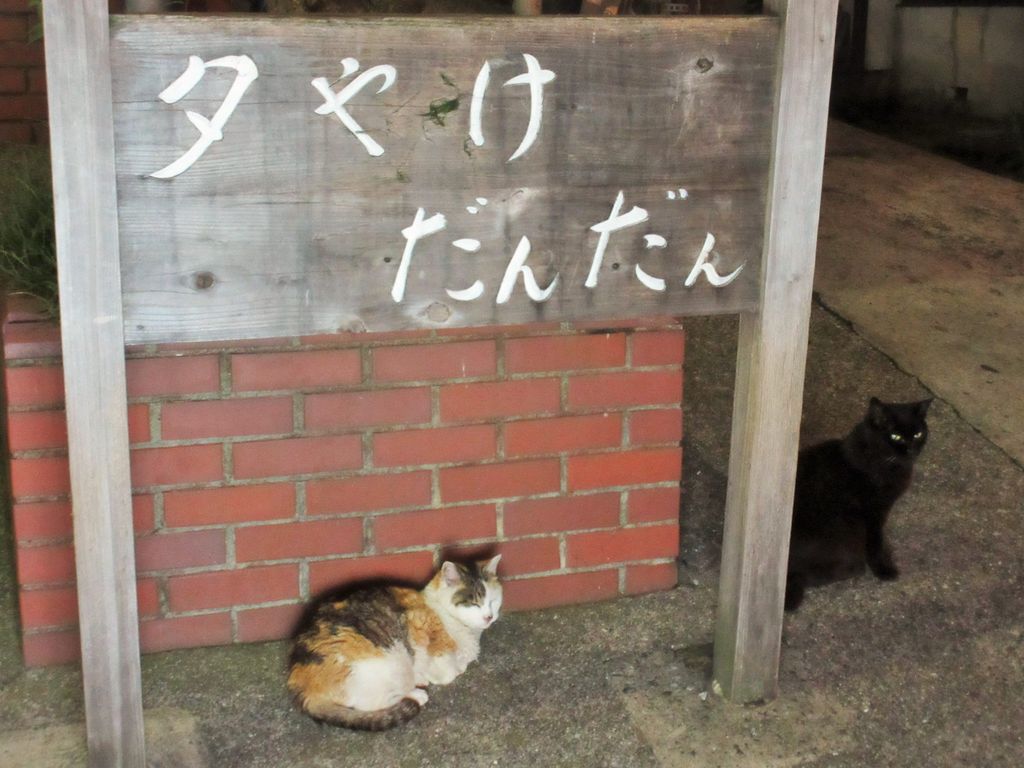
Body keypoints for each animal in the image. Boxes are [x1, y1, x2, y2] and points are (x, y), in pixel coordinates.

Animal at [286, 557, 501, 729]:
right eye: (473, 603)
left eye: (493, 601)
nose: (489, 617)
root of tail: (302, 688)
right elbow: (448, 673)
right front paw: (436, 674)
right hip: (390, 660)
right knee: (369, 703)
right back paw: (416, 694)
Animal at [782, 397, 937, 614]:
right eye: (895, 436)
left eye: (918, 434)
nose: (912, 449)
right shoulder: (873, 513)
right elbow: (875, 542)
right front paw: (884, 569)